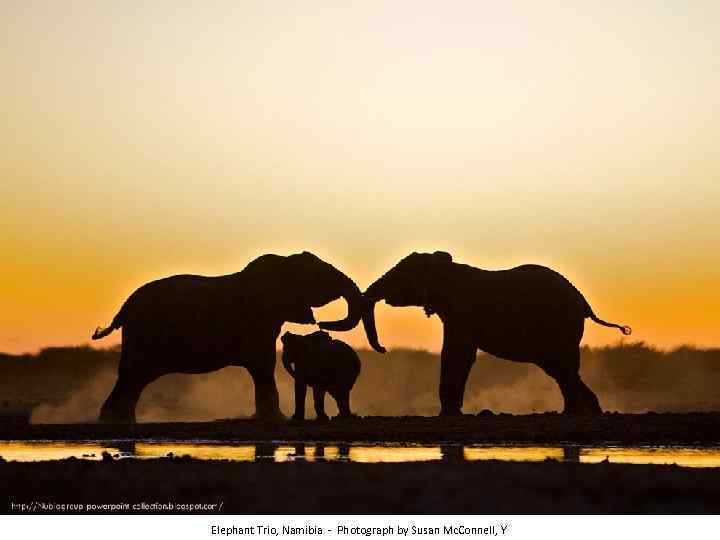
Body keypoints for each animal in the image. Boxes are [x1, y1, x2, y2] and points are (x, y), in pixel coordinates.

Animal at [91, 251, 376, 424]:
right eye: (318, 277)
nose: (322, 324)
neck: (282, 264)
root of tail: (124, 308)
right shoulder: (258, 321)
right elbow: (264, 364)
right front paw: (275, 420)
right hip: (143, 336)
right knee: (133, 376)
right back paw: (115, 421)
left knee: (133, 379)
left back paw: (120, 421)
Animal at [358, 251, 632, 416]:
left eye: (401, 275)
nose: (383, 349)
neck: (445, 270)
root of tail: (584, 303)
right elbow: (461, 356)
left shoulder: (462, 312)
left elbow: (456, 355)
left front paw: (448, 414)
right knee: (562, 370)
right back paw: (578, 411)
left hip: (561, 327)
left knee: (563, 368)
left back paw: (585, 411)